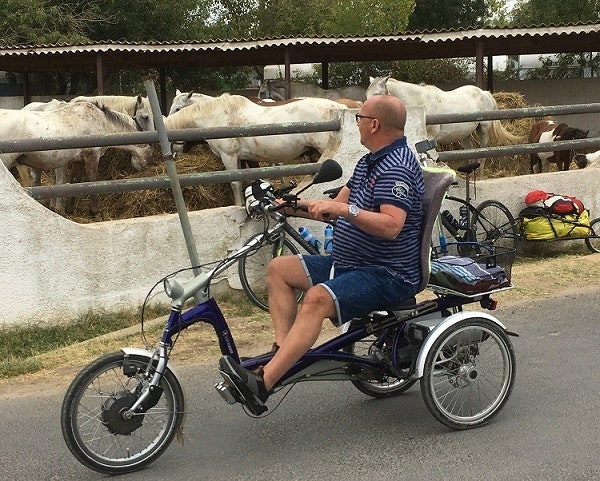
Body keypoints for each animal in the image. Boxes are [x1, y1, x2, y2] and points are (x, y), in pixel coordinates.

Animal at [1, 101, 155, 214]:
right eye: (150, 155)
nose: (146, 166)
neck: (102, 122)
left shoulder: (79, 160)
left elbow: (76, 181)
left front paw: (69, 210)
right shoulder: (92, 157)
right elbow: (92, 181)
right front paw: (94, 211)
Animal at [164, 93, 346, 204]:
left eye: (178, 109)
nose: (172, 154)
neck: (217, 116)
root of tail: (341, 108)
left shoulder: (229, 156)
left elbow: (235, 183)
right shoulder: (240, 158)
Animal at [364, 78, 524, 175]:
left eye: (379, 94)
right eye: (367, 94)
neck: (420, 102)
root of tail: (484, 92)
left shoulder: (430, 138)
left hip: (483, 130)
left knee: (483, 153)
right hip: (465, 136)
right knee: (470, 154)